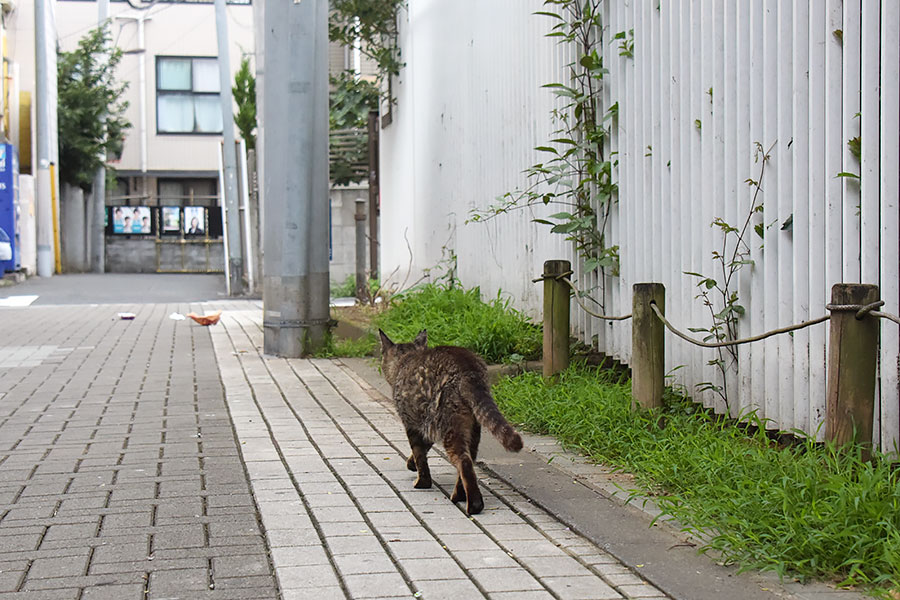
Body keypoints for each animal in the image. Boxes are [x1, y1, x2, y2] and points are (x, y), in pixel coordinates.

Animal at [378, 328, 520, 516]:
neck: (405, 360)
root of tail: (468, 369)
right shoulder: (427, 424)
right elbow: (423, 449)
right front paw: (411, 463)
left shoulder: (413, 424)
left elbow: (419, 454)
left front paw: (421, 480)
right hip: (472, 428)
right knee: (469, 460)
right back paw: (459, 494)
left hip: (450, 427)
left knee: (464, 462)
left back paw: (473, 504)